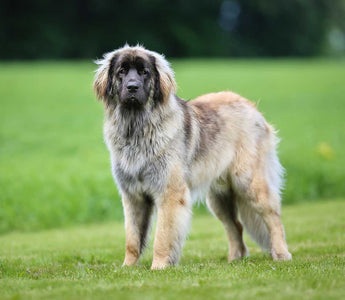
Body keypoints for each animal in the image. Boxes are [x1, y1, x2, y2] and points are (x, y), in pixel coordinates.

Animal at [92, 45, 290, 270]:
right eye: (122, 71)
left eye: (144, 72)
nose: (132, 87)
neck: (137, 128)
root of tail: (252, 107)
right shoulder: (133, 196)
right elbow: (132, 239)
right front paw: (128, 267)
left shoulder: (169, 193)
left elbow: (162, 236)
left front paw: (159, 266)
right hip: (219, 198)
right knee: (235, 226)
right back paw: (235, 258)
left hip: (249, 183)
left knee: (273, 217)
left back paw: (281, 253)